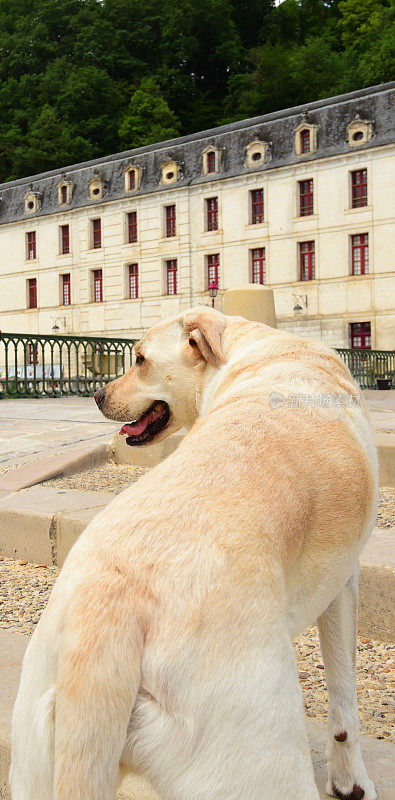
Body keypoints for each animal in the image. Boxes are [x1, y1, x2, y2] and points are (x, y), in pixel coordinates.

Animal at [10, 308, 378, 800]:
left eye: (140, 359)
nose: (97, 394)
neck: (258, 354)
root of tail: (111, 597)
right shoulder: (344, 582)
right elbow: (344, 697)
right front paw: (351, 781)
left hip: (37, 753)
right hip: (259, 751)